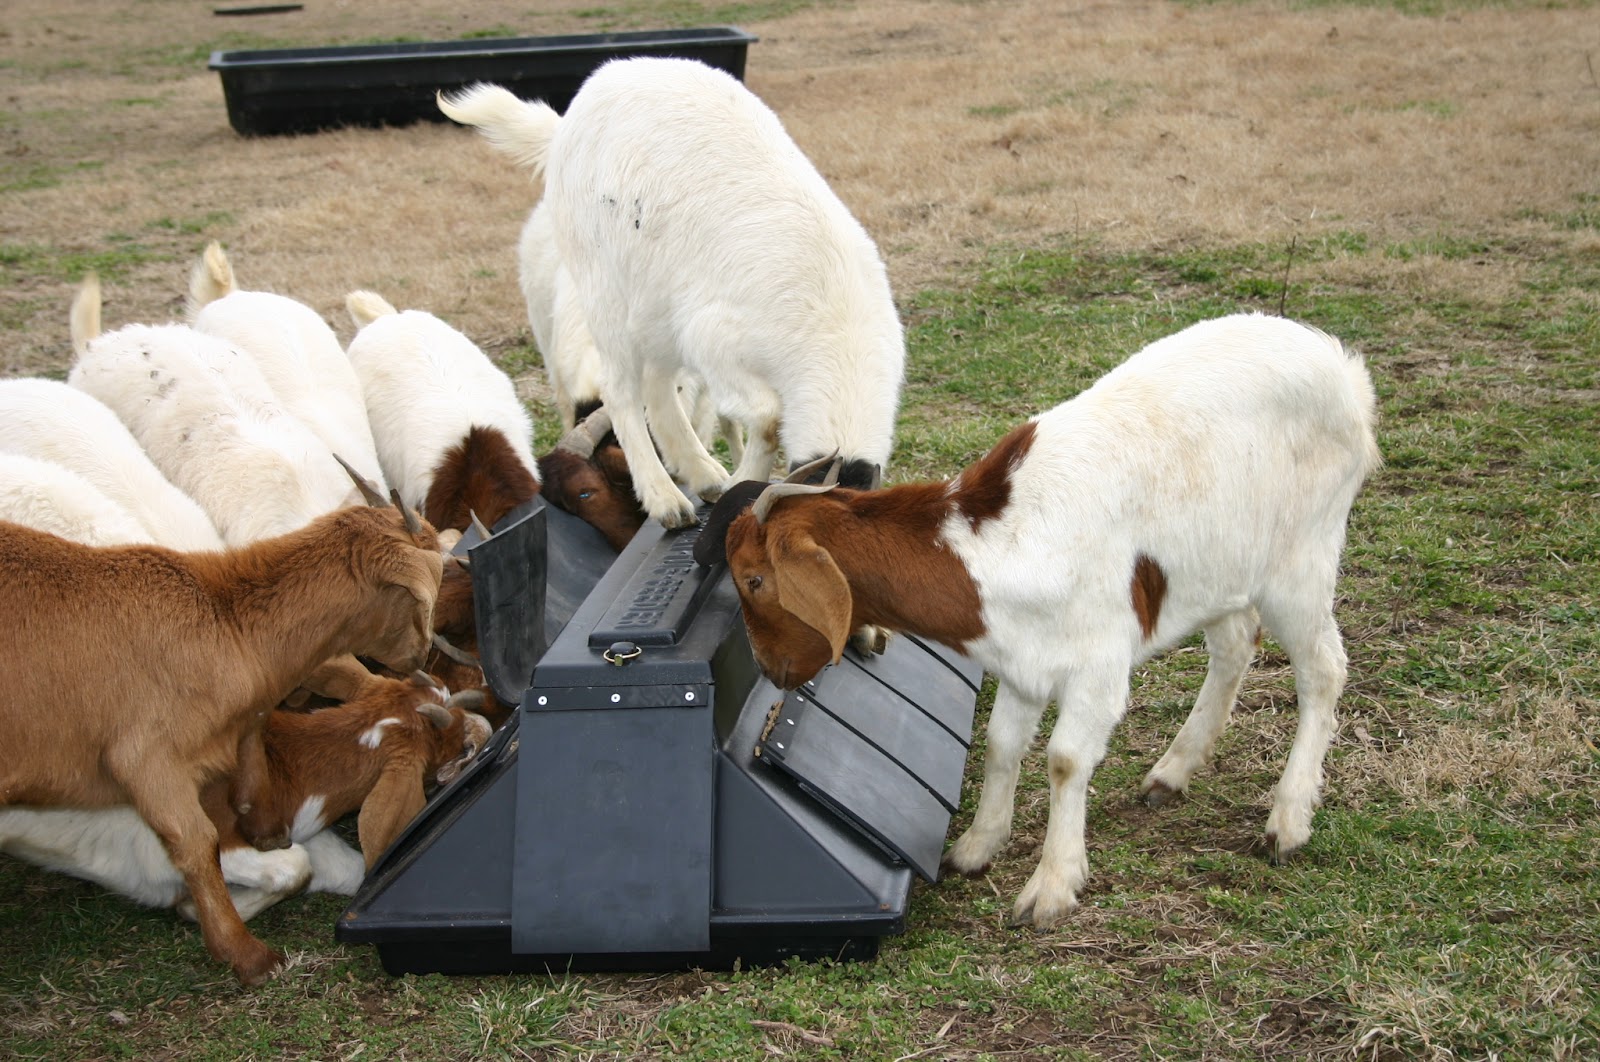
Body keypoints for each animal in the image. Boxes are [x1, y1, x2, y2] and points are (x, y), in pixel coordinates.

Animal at [0, 492, 445, 984]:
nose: (424, 656)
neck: (226, 622)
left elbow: (254, 756)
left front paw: (263, 827)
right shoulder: (147, 758)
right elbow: (197, 845)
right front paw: (244, 954)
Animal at [438, 59, 906, 529]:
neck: (838, 326)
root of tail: (568, 117)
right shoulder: (715, 343)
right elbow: (769, 419)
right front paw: (743, 482)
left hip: (658, 305)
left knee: (657, 384)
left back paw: (702, 475)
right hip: (604, 289)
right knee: (621, 389)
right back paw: (665, 498)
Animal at [718, 313, 1381, 928]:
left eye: (753, 580)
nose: (771, 669)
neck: (994, 545)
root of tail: (1343, 369)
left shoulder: (1098, 665)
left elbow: (1063, 760)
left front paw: (1052, 885)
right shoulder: (1023, 662)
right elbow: (1002, 744)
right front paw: (977, 846)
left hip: (1301, 558)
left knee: (1323, 670)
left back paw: (1288, 819)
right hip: (1218, 568)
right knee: (1236, 644)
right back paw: (1173, 771)